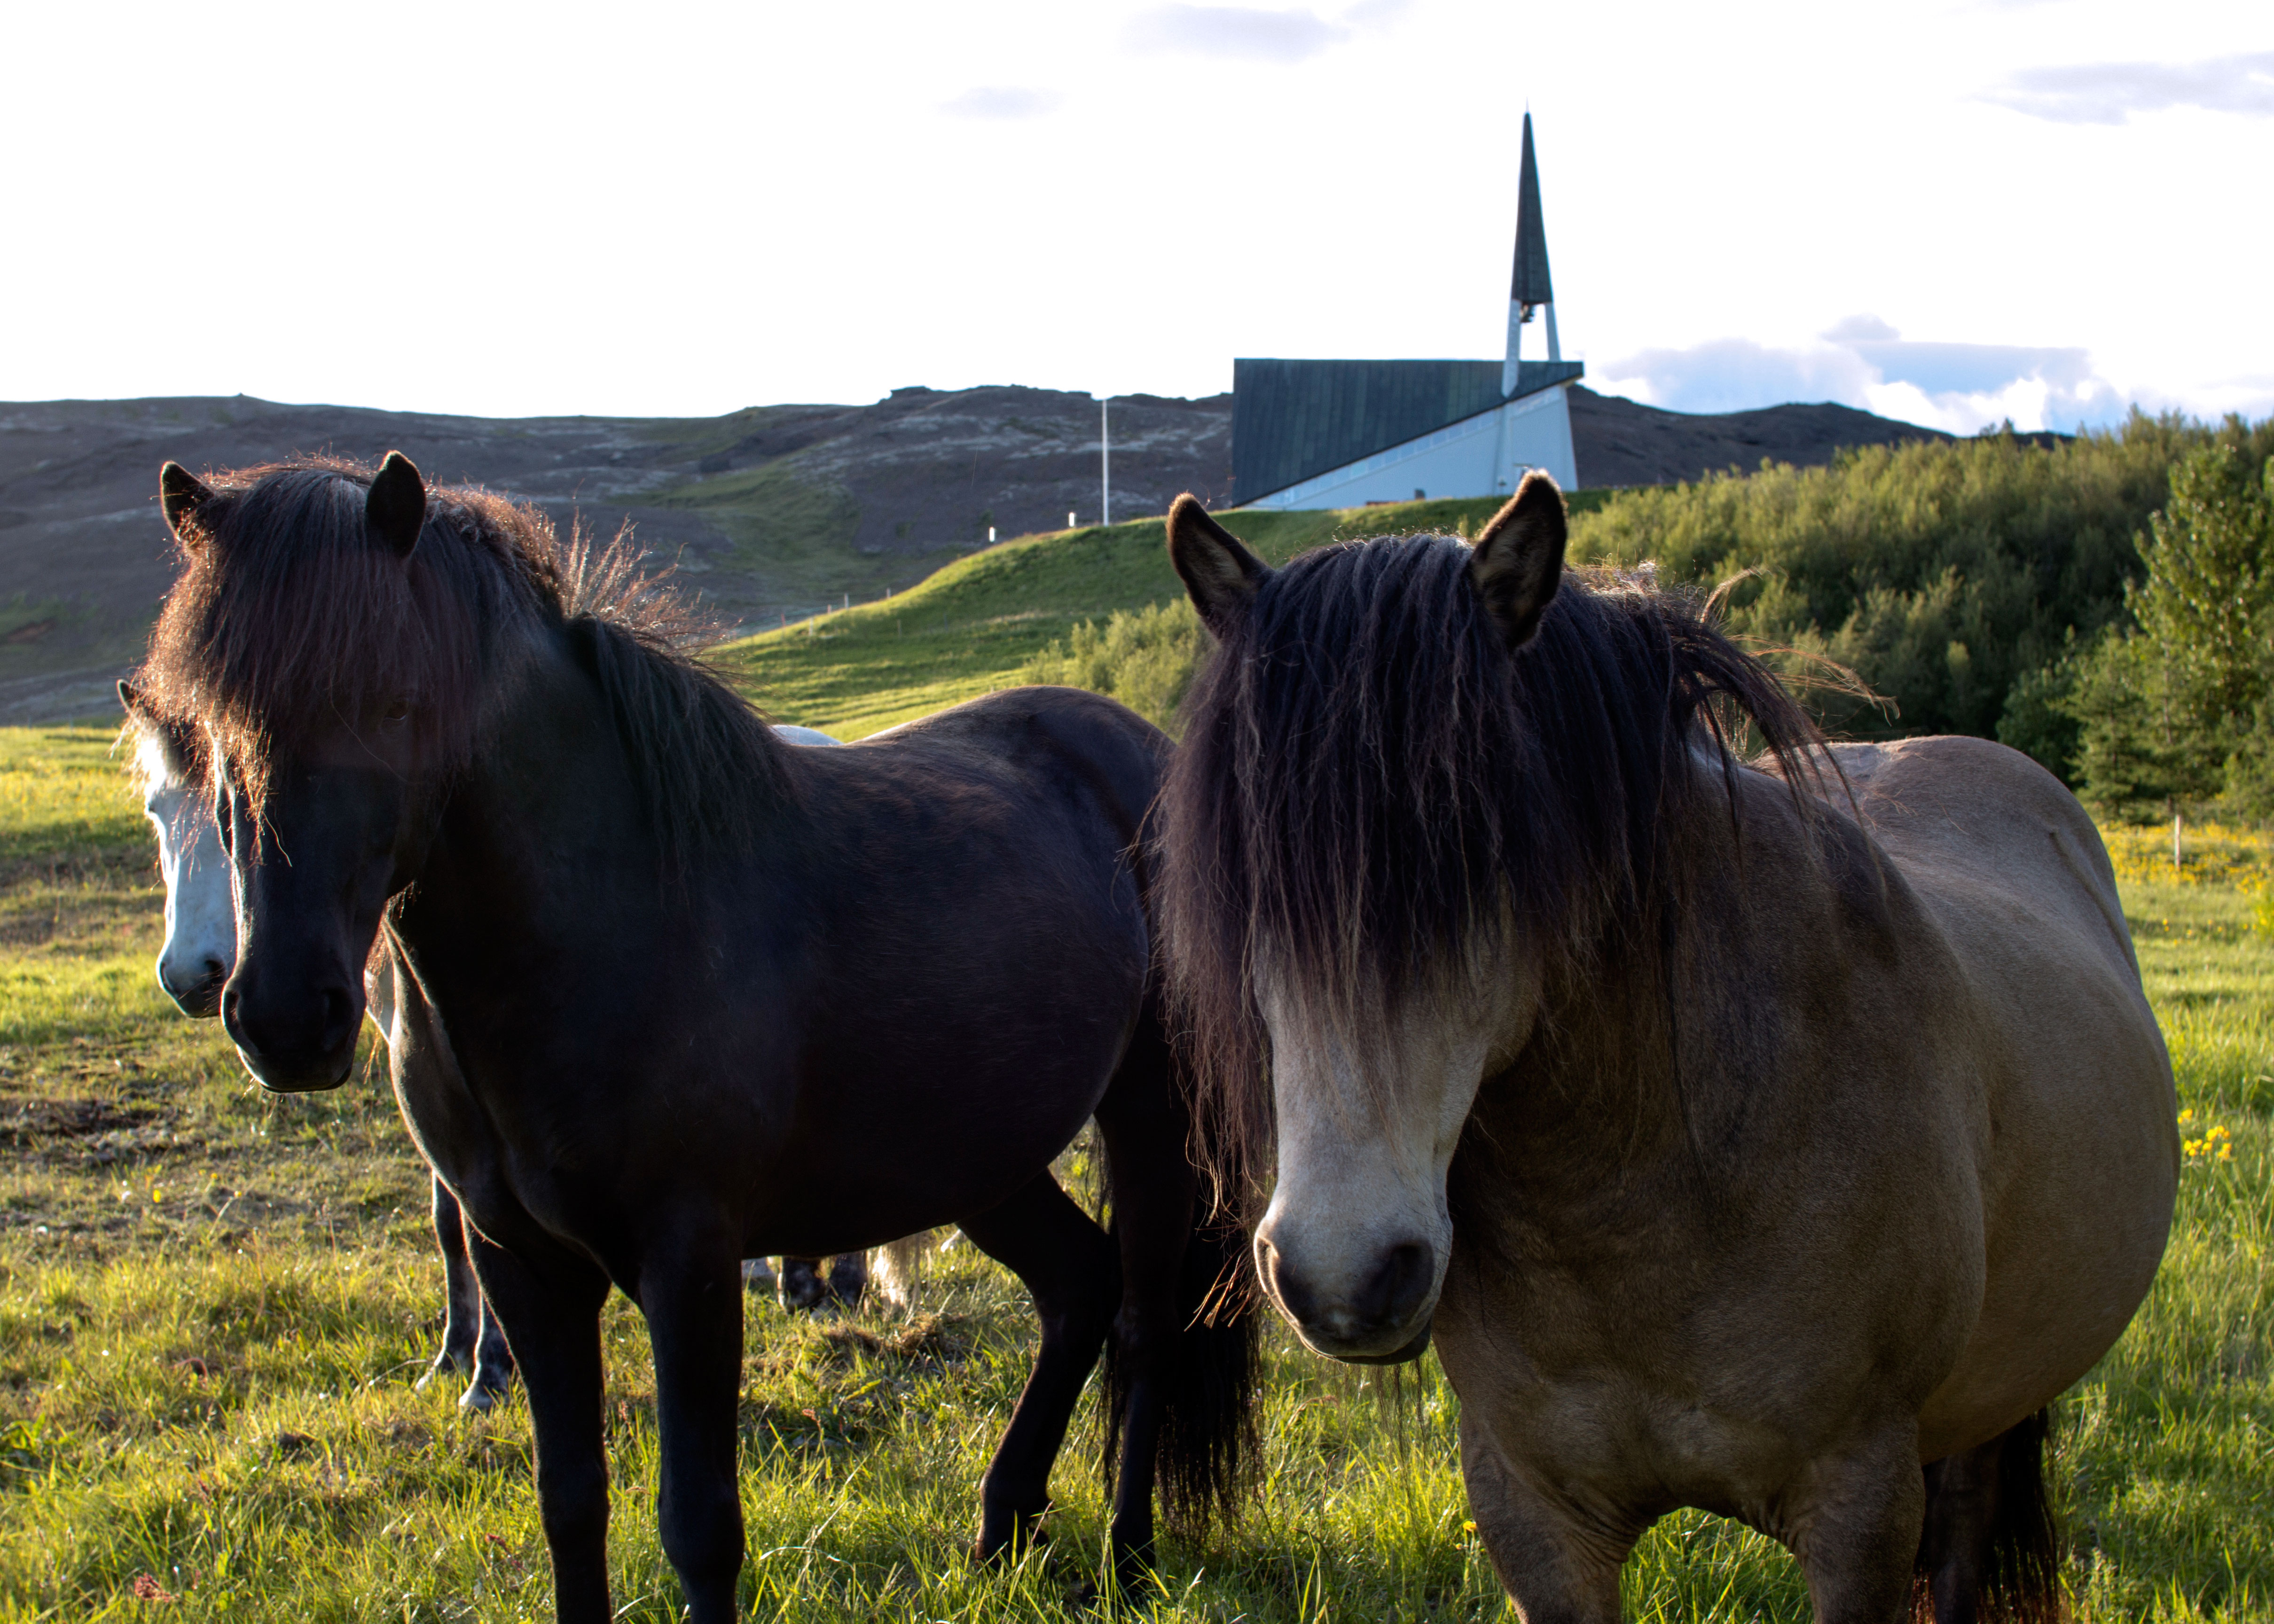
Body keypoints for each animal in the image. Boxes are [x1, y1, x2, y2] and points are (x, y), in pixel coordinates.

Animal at [134, 453, 1255, 1623]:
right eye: (208, 730)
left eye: (394, 702)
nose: (279, 1016)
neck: (606, 923)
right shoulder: (520, 1258)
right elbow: (571, 1502)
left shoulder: (693, 1258)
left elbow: (700, 1528)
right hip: (979, 1151)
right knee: (1076, 1289)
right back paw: (1003, 1530)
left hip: (1153, 1118)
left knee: (1146, 1321)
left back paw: (1129, 1558)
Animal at [1153, 476, 2177, 1624]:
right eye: (1247, 882)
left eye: (1482, 849)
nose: (1345, 1275)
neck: (1647, 1189)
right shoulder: (1534, 1518)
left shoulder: (1858, 1508)